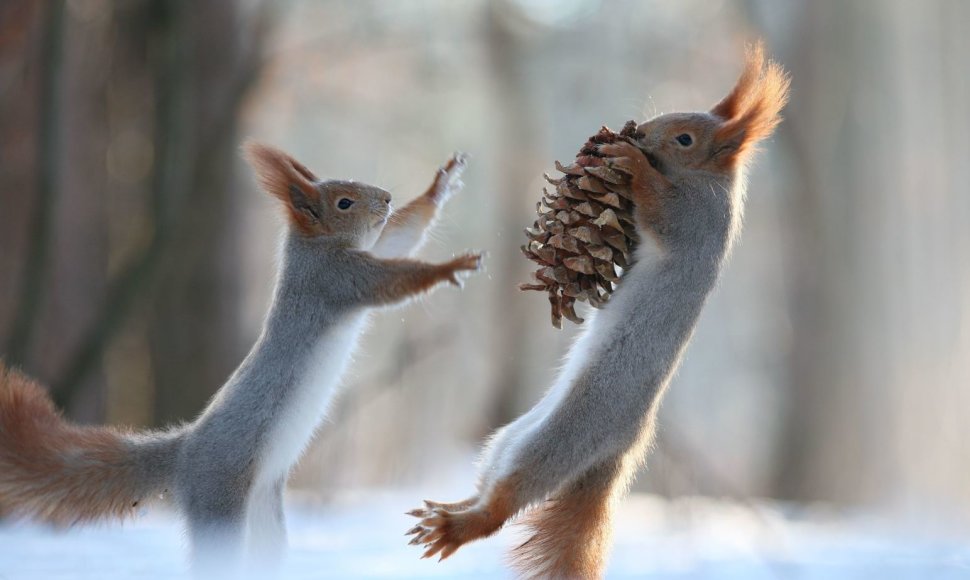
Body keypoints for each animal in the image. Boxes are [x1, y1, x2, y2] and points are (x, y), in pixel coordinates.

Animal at [0, 144, 484, 572]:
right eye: (344, 202)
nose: (385, 198)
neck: (312, 248)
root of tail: (184, 455)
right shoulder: (337, 278)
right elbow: (394, 279)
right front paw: (449, 267)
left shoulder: (364, 254)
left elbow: (401, 235)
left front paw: (440, 186)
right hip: (220, 504)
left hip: (265, 521)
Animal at [404, 43, 792, 576]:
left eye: (685, 138)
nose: (639, 132)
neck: (709, 181)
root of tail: (621, 451)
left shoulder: (693, 219)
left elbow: (658, 207)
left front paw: (630, 161)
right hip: (509, 438)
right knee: (491, 488)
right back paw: (449, 510)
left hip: (559, 438)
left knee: (504, 506)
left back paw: (456, 527)